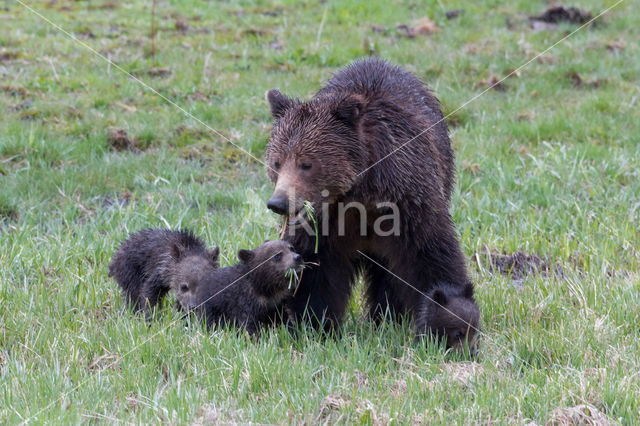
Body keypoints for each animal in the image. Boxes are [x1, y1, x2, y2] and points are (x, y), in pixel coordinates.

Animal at [262, 57, 478, 342]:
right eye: (276, 162)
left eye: (306, 163)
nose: (278, 203)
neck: (360, 190)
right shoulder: (324, 224)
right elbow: (315, 270)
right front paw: (314, 323)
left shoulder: (407, 201)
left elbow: (430, 255)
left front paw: (446, 318)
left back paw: (388, 315)